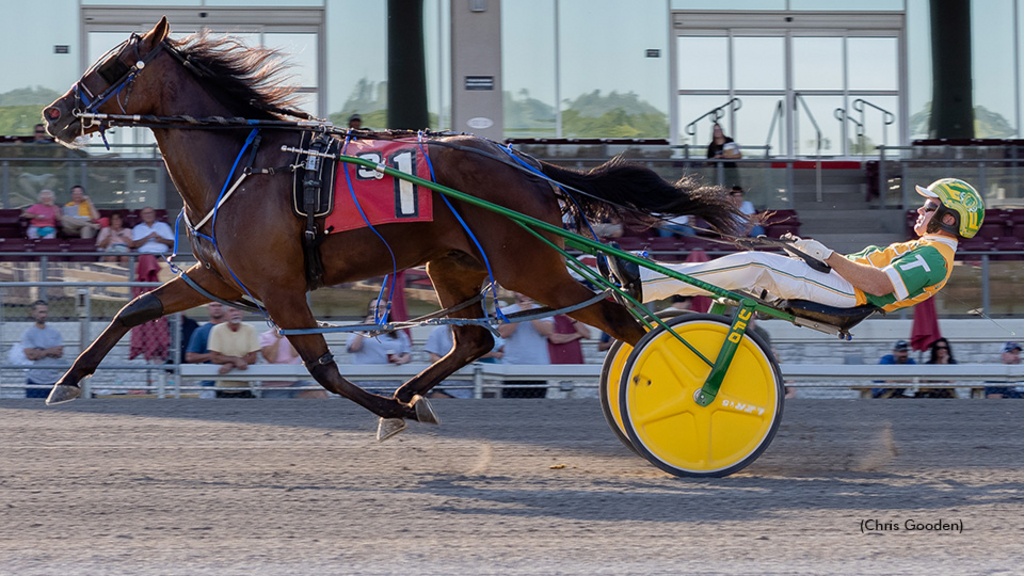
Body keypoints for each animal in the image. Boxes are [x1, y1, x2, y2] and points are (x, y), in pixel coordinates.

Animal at [41, 17, 745, 434]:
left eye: (110, 68)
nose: (53, 113)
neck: (244, 163)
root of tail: (522, 162)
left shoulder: (280, 289)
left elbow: (324, 371)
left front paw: (386, 409)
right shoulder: (218, 278)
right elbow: (131, 312)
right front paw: (68, 381)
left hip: (530, 265)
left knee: (624, 322)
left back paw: (685, 397)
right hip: (453, 263)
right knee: (476, 341)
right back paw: (416, 390)